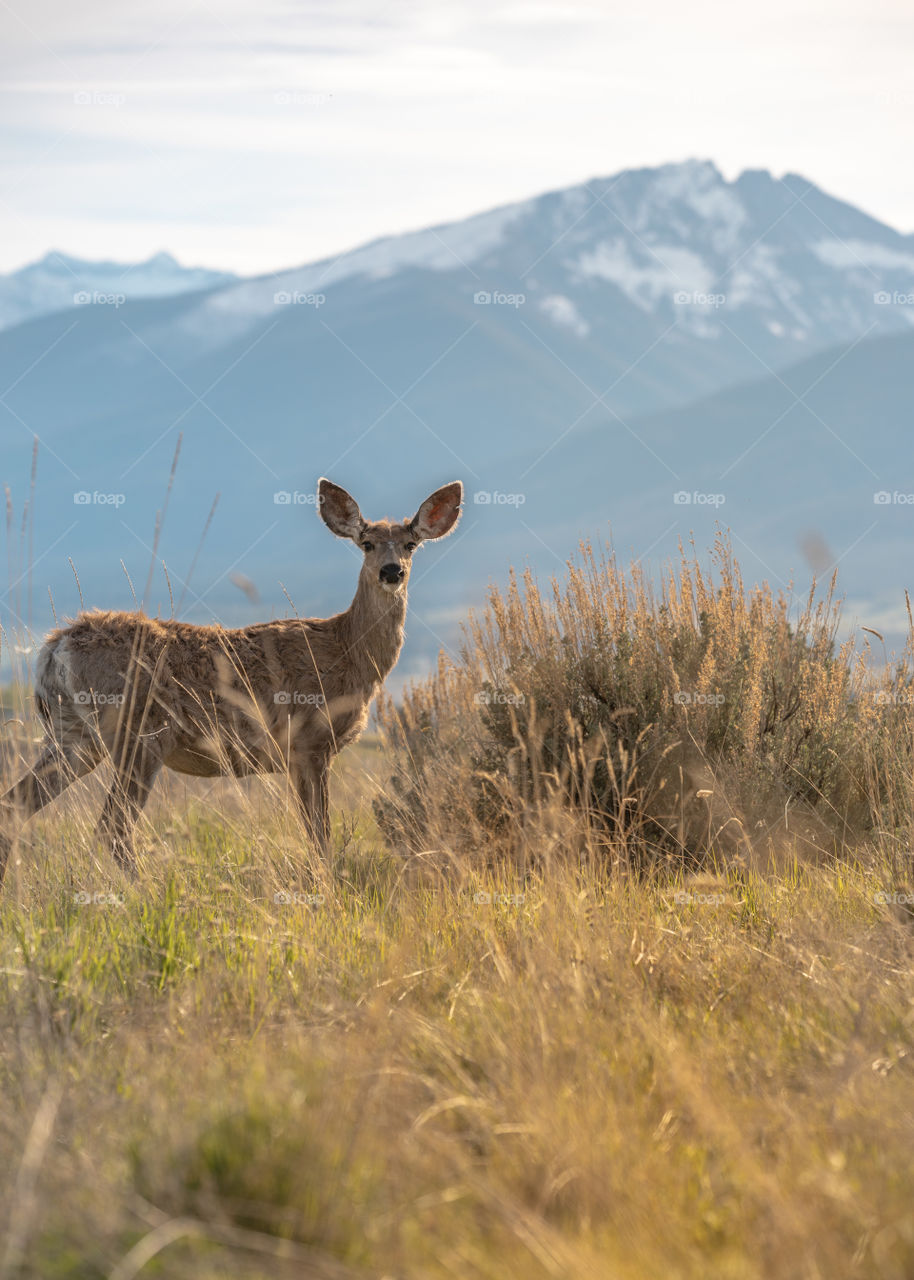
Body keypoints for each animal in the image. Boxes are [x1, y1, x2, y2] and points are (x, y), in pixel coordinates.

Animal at [0, 476, 458, 885]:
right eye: (366, 543)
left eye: (411, 544)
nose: (392, 571)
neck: (347, 650)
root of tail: (52, 649)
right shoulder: (309, 744)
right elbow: (319, 836)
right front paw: (327, 888)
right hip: (138, 733)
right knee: (112, 827)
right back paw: (147, 890)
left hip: (72, 736)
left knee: (14, 806)